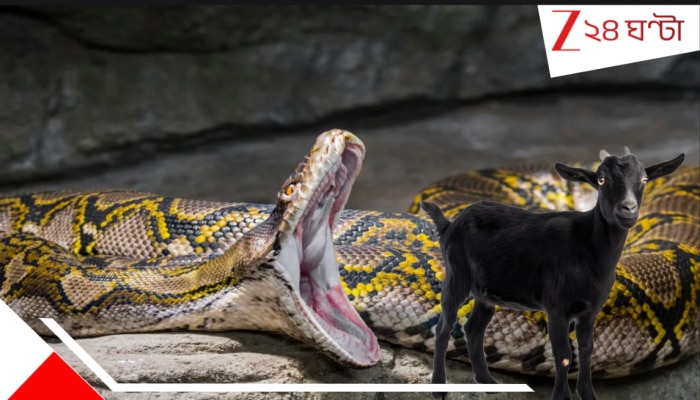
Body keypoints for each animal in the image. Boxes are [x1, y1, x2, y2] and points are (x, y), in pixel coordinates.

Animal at [421, 148, 685, 400]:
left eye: (644, 179)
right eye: (601, 180)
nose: (628, 209)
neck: (587, 247)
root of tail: (449, 224)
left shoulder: (590, 310)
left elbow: (587, 349)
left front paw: (588, 394)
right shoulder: (557, 306)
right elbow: (563, 352)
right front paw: (562, 396)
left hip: (486, 293)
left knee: (473, 329)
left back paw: (488, 383)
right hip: (456, 276)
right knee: (444, 328)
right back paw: (439, 389)